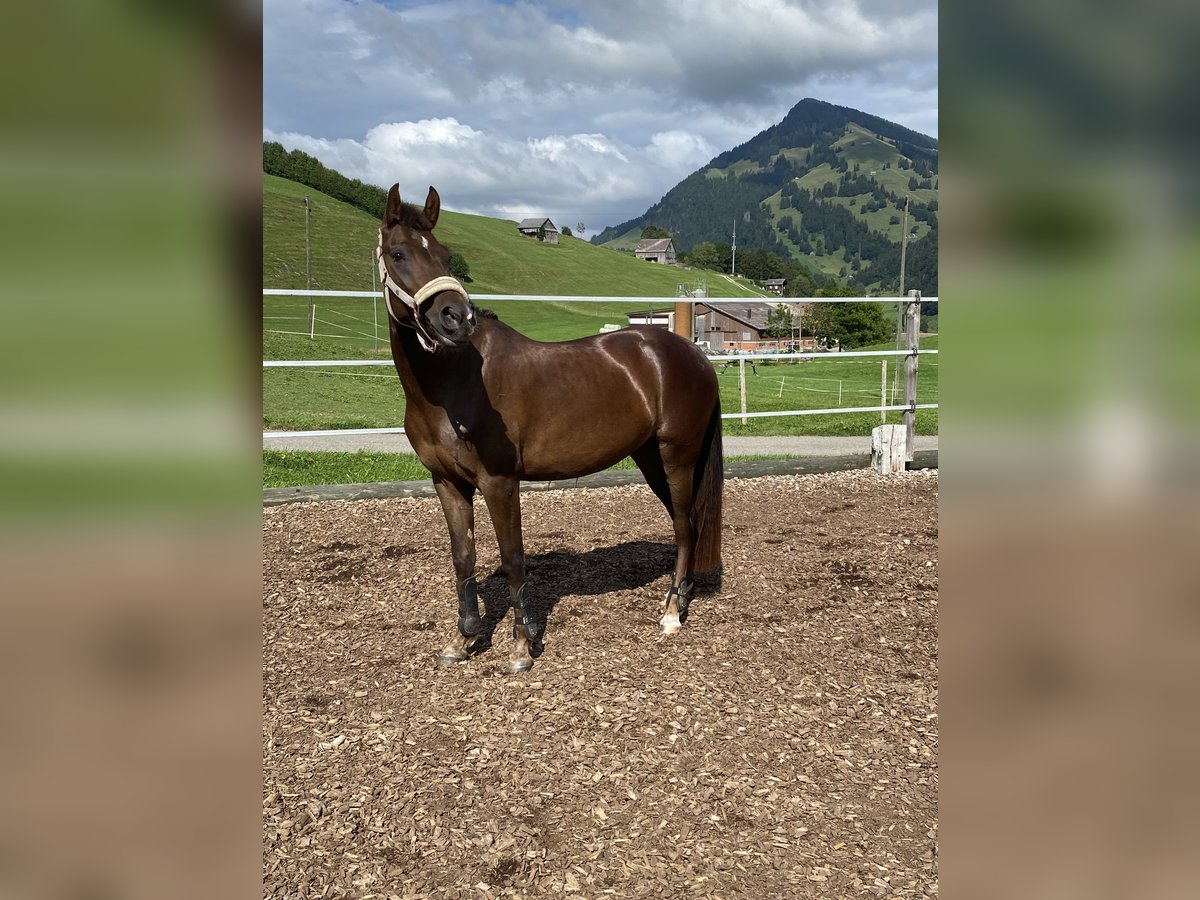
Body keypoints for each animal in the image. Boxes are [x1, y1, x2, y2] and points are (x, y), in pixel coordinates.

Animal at [379, 184, 724, 676]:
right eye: (399, 253)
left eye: (444, 256)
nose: (455, 318)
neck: (452, 383)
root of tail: (695, 355)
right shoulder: (447, 482)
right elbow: (463, 558)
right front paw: (463, 639)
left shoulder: (500, 482)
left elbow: (513, 559)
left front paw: (521, 648)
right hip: (649, 458)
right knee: (688, 524)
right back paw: (680, 597)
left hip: (677, 456)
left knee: (684, 525)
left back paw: (673, 613)